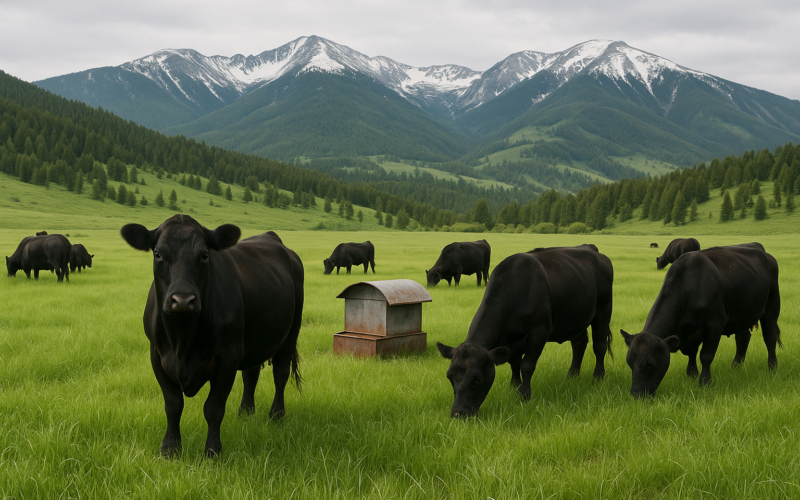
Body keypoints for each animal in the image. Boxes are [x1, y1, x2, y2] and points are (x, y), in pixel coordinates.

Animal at [120, 214, 304, 457]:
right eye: (158, 253)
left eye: (204, 255)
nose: (182, 300)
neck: (182, 341)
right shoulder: (157, 355)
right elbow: (173, 405)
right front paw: (170, 449)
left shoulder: (228, 356)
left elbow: (213, 407)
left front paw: (212, 451)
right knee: (251, 373)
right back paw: (246, 412)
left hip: (290, 332)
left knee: (280, 373)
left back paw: (276, 415)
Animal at [437, 244, 613, 418]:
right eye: (449, 376)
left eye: (478, 378)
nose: (458, 413)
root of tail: (592, 249)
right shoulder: (510, 342)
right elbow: (515, 363)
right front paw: (514, 386)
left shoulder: (539, 332)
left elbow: (527, 365)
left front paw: (524, 394)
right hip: (577, 317)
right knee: (579, 344)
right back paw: (572, 375)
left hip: (603, 310)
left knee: (599, 346)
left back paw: (598, 377)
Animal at [621, 243, 781, 398]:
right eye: (630, 363)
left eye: (650, 364)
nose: (636, 394)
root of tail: (764, 252)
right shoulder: (691, 332)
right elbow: (692, 353)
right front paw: (691, 374)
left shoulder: (714, 325)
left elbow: (705, 356)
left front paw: (704, 382)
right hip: (742, 314)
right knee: (743, 337)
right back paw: (736, 366)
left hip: (771, 307)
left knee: (770, 337)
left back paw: (772, 367)